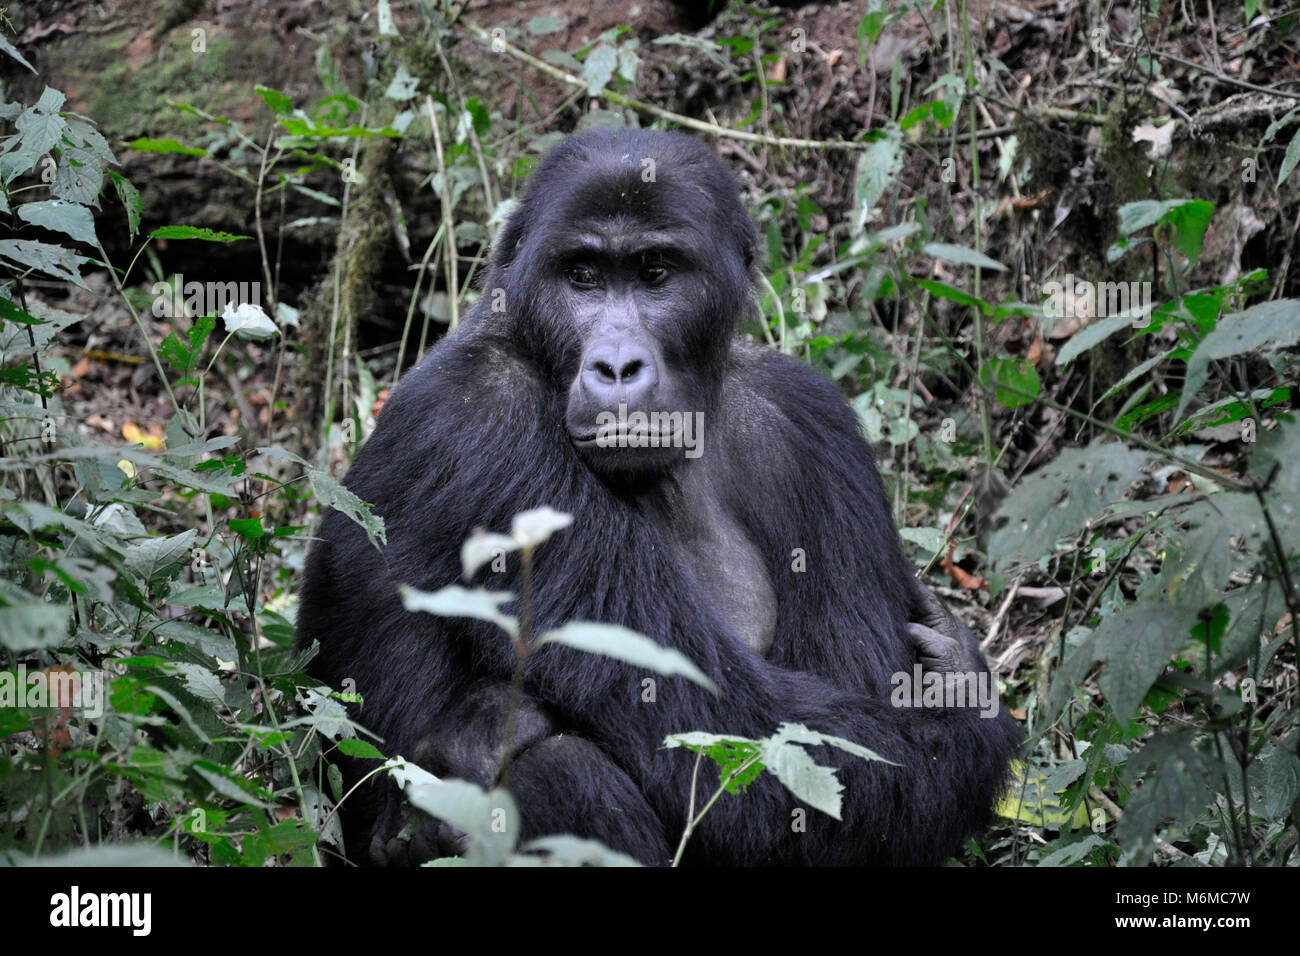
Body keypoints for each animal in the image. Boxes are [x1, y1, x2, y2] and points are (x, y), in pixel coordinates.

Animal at [299, 127, 1019, 868]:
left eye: (655, 274)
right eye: (582, 277)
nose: (616, 367)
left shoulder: (811, 418)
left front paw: (958, 682)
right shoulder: (480, 422)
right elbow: (747, 740)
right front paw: (972, 709)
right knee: (556, 769)